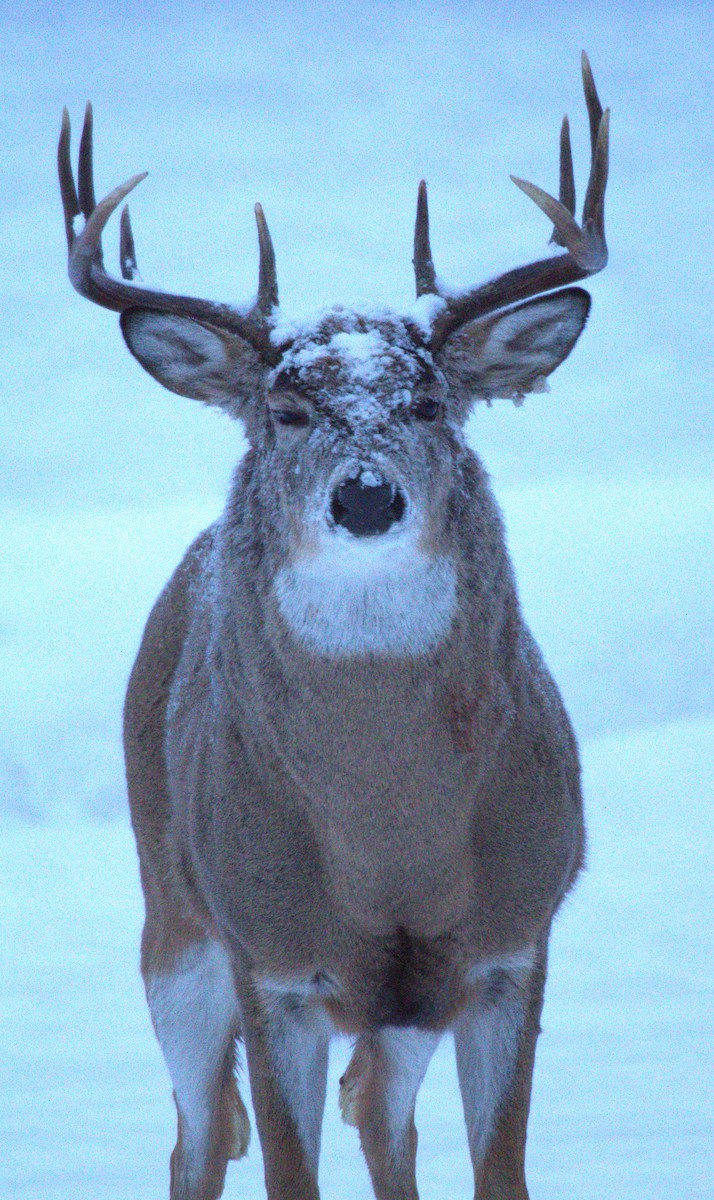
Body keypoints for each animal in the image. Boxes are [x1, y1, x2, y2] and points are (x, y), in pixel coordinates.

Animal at [59, 52, 609, 1200]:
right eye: (287, 409)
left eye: (432, 402)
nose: (364, 498)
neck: (391, 843)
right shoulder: (272, 964)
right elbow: (282, 1168)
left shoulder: (513, 948)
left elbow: (498, 1172)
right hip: (171, 923)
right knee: (194, 1139)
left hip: (399, 1009)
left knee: (381, 1120)